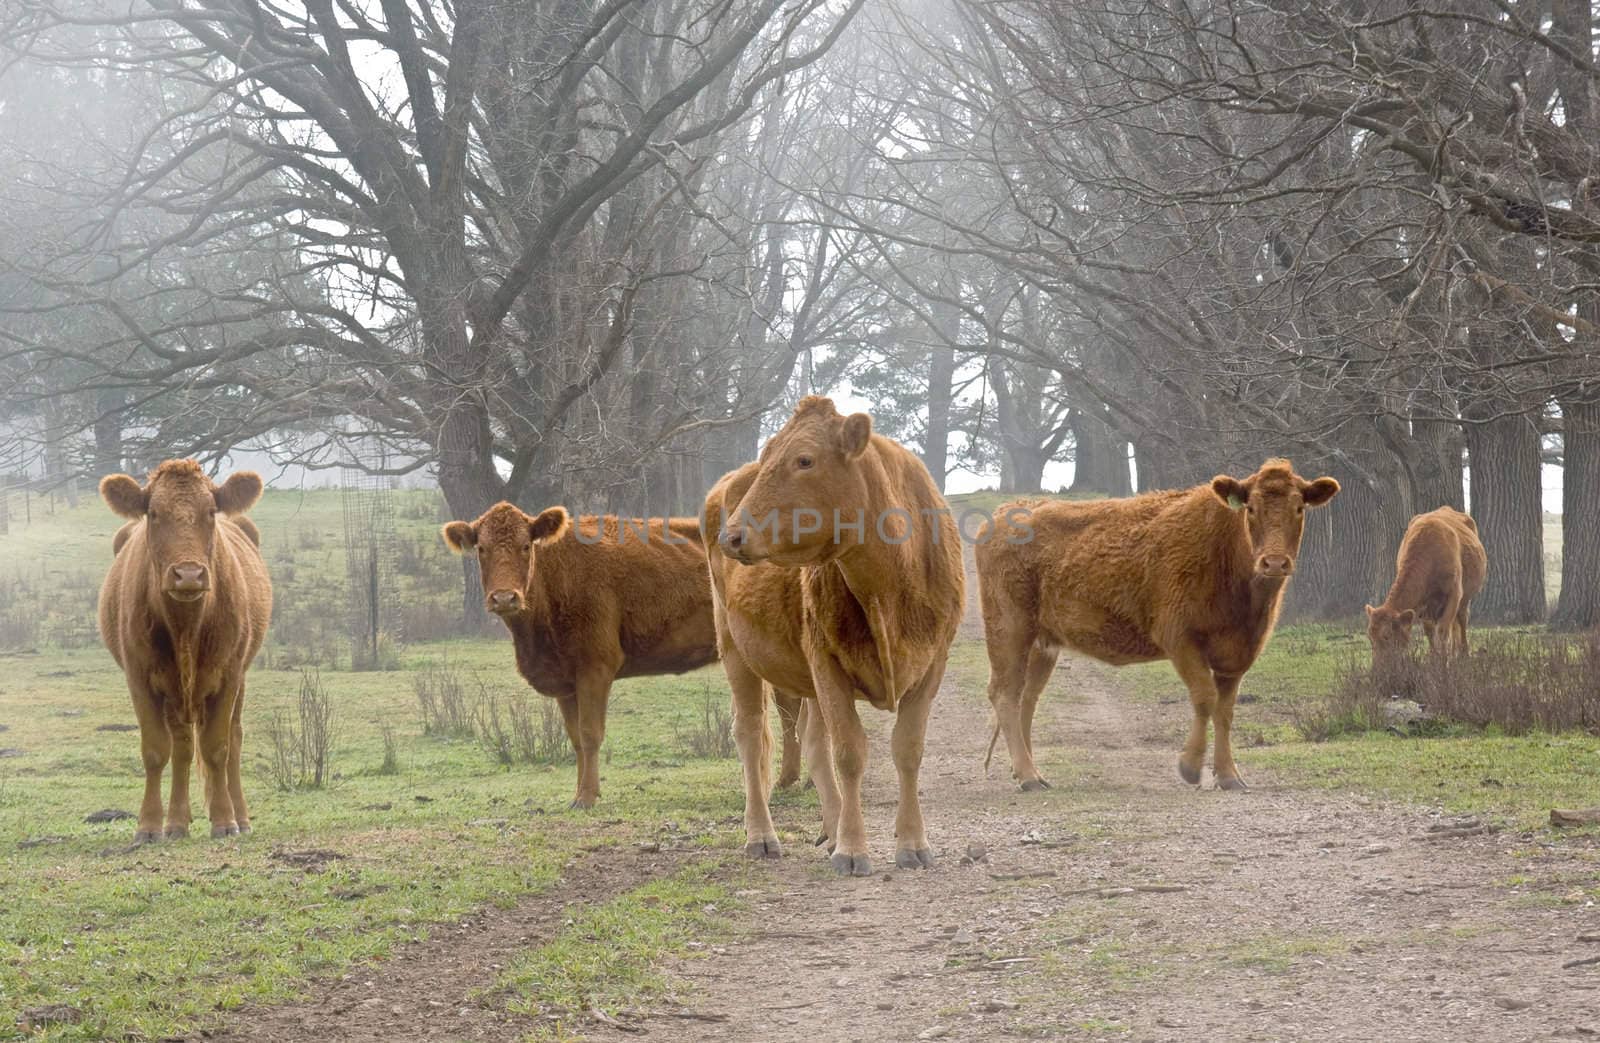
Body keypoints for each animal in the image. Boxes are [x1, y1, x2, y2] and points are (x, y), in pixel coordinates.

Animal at [97, 460, 273, 844]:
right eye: (153, 513)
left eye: (210, 511)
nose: (188, 574)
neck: (186, 627)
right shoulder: (140, 679)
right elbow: (155, 750)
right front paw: (149, 825)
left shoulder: (228, 676)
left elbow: (217, 748)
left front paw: (225, 821)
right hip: (174, 694)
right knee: (181, 747)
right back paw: (177, 822)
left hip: (238, 680)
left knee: (232, 741)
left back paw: (240, 815)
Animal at [441, 502, 800, 806]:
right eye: (481, 549)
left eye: (525, 546)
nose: (504, 598)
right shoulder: (566, 682)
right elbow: (575, 738)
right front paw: (581, 792)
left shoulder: (595, 669)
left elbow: (590, 733)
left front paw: (586, 798)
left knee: (791, 709)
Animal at [704, 395, 960, 876]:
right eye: (768, 456)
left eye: (805, 459)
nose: (734, 535)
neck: (887, 590)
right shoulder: (828, 664)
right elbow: (850, 753)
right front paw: (853, 849)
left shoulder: (931, 666)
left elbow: (907, 749)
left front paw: (912, 844)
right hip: (735, 650)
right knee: (751, 735)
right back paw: (762, 836)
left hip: (805, 676)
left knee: (811, 740)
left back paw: (832, 825)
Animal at [972, 457, 1337, 790]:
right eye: (1251, 508)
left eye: (1299, 508)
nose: (1274, 563)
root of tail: (1008, 513)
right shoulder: (1181, 641)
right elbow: (1204, 698)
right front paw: (1190, 767)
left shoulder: (1236, 654)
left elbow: (1225, 710)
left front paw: (1229, 775)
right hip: (1010, 631)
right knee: (1005, 694)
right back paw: (1028, 776)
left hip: (1042, 645)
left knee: (1027, 697)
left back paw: (1030, 773)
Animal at [1363, 505, 1484, 668]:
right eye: (1370, 636)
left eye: (1387, 635)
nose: (1378, 668)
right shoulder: (1423, 605)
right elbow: (1430, 632)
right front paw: (1435, 661)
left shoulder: (1454, 594)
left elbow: (1443, 630)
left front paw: (1443, 664)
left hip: (1465, 598)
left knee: (1461, 619)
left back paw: (1463, 655)